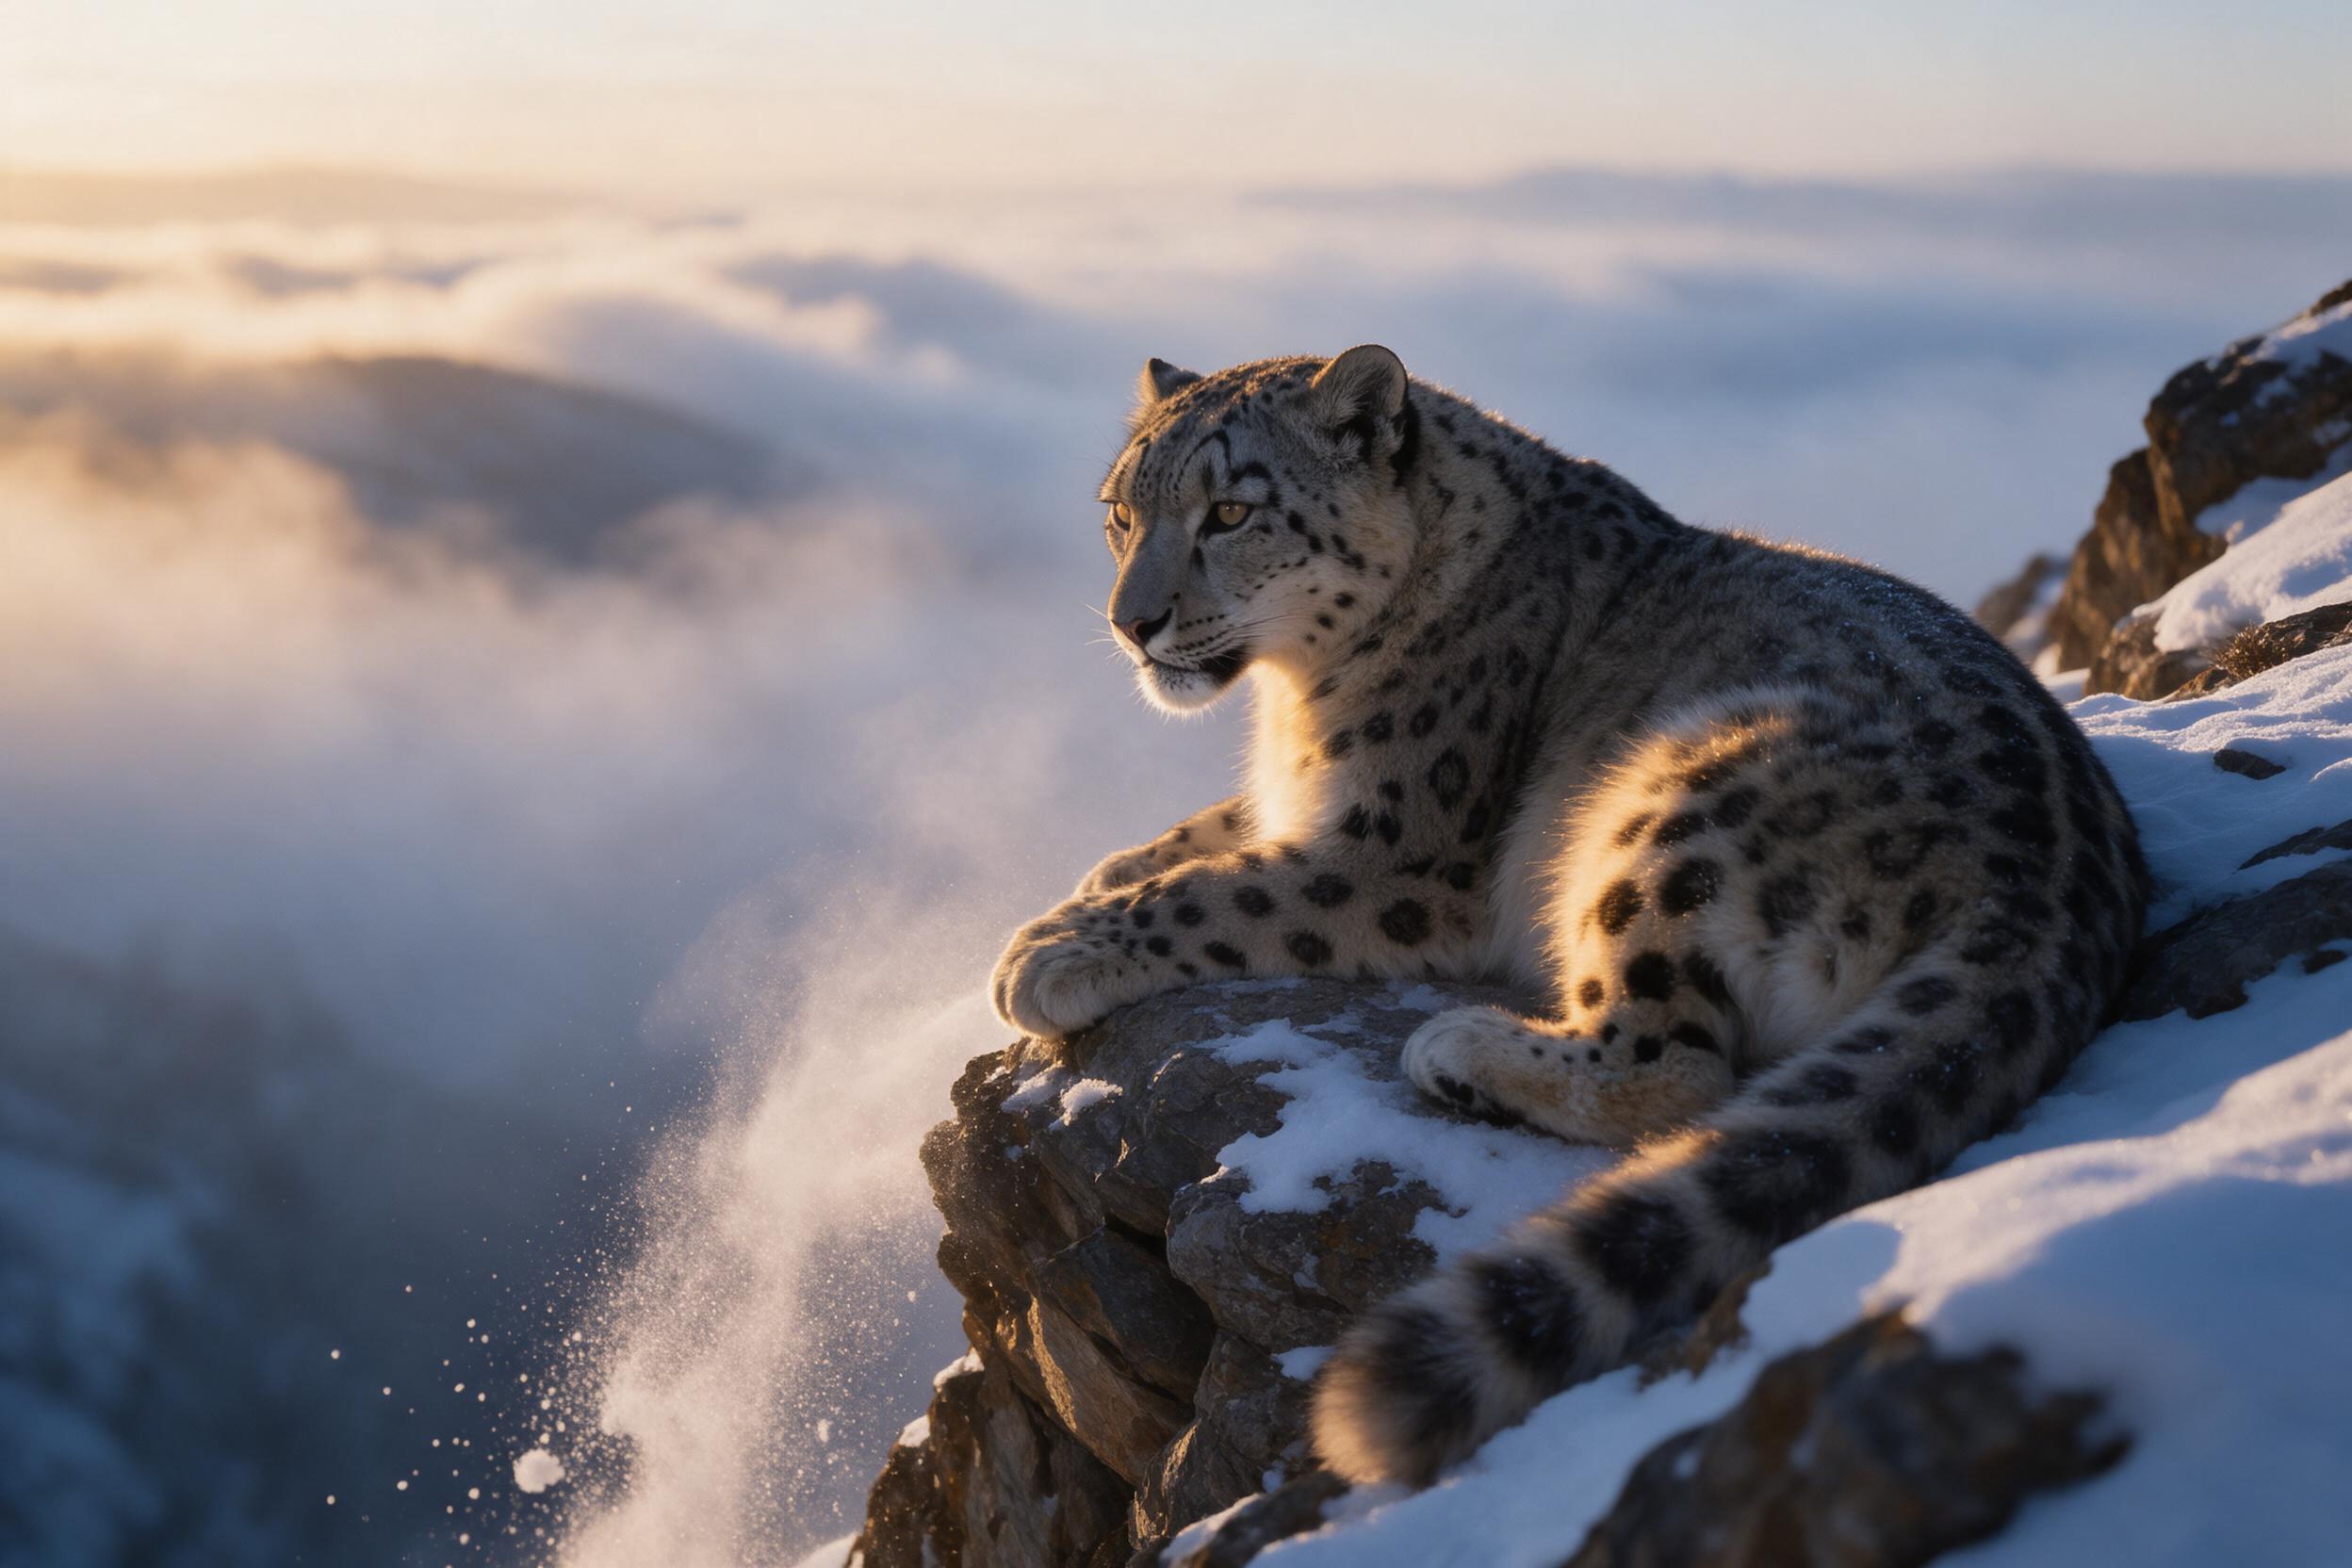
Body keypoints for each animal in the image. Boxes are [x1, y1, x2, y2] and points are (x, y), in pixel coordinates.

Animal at [987, 346, 2147, 1487]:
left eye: (1230, 511)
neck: (1296, 702)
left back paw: (1464, 1051)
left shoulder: (1397, 851)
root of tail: (2054, 888)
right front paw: (1089, 884)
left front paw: (1050, 952)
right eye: (1120, 514)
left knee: (1679, 1065)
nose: (1131, 625)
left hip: (1676, 804)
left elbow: (1224, 888)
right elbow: (1198, 837)